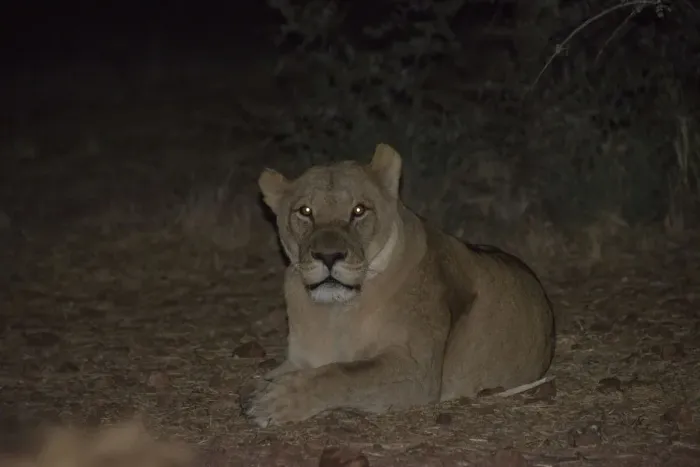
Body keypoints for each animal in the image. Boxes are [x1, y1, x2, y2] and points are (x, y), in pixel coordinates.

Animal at [243, 143, 555, 427]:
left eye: (359, 210)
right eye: (305, 211)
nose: (328, 256)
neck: (335, 313)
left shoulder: (416, 371)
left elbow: (343, 373)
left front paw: (278, 399)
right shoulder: (301, 358)